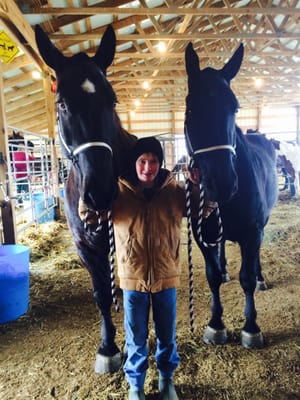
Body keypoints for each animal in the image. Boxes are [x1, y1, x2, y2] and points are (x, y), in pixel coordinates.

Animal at [35, 26, 137, 374]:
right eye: (62, 104)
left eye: (113, 100)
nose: (100, 193)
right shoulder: (84, 247)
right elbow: (101, 294)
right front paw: (108, 348)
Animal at [184, 41, 278, 346]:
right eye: (190, 109)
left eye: (235, 108)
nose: (222, 183)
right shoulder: (201, 234)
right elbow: (212, 275)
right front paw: (216, 324)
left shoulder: (252, 232)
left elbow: (246, 277)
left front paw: (251, 327)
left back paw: (260, 278)